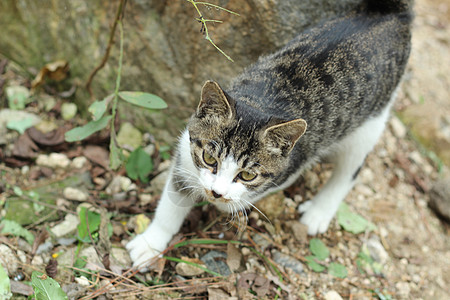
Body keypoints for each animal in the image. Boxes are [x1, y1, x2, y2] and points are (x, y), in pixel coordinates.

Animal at [125, 0, 412, 270]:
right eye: (209, 158)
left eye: (247, 175)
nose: (216, 192)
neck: (261, 102)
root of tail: (391, 12)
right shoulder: (186, 153)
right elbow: (172, 201)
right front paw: (151, 243)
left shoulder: (292, 165)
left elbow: (247, 195)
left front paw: (226, 204)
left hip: (372, 118)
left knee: (352, 167)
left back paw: (318, 212)